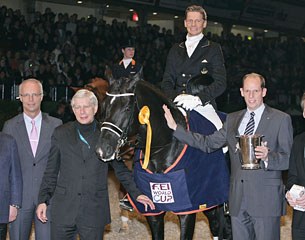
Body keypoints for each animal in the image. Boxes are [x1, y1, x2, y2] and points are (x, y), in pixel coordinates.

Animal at [96, 73, 229, 240]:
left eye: (127, 108)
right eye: (104, 106)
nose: (102, 150)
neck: (164, 147)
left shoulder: (188, 211)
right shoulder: (153, 211)